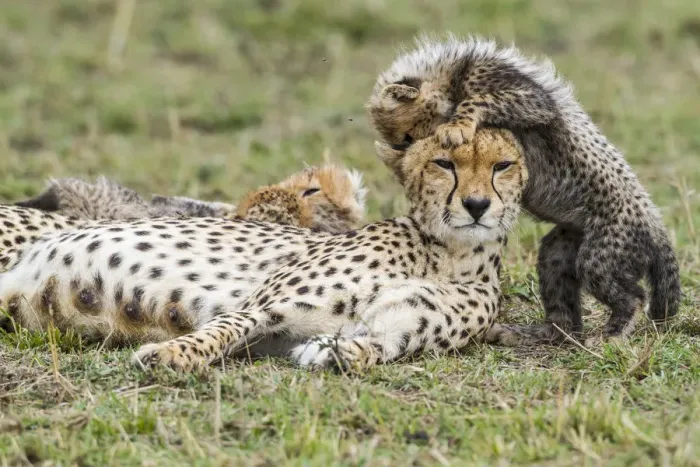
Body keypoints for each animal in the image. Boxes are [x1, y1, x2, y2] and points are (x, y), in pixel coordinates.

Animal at [366, 34, 681, 346]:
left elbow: (479, 100)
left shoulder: (527, 97)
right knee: (561, 300)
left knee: (633, 295)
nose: (408, 154)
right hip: (562, 248)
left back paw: (614, 333)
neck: (452, 76)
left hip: (603, 252)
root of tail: (656, 224)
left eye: (407, 136)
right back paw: (535, 333)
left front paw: (456, 126)